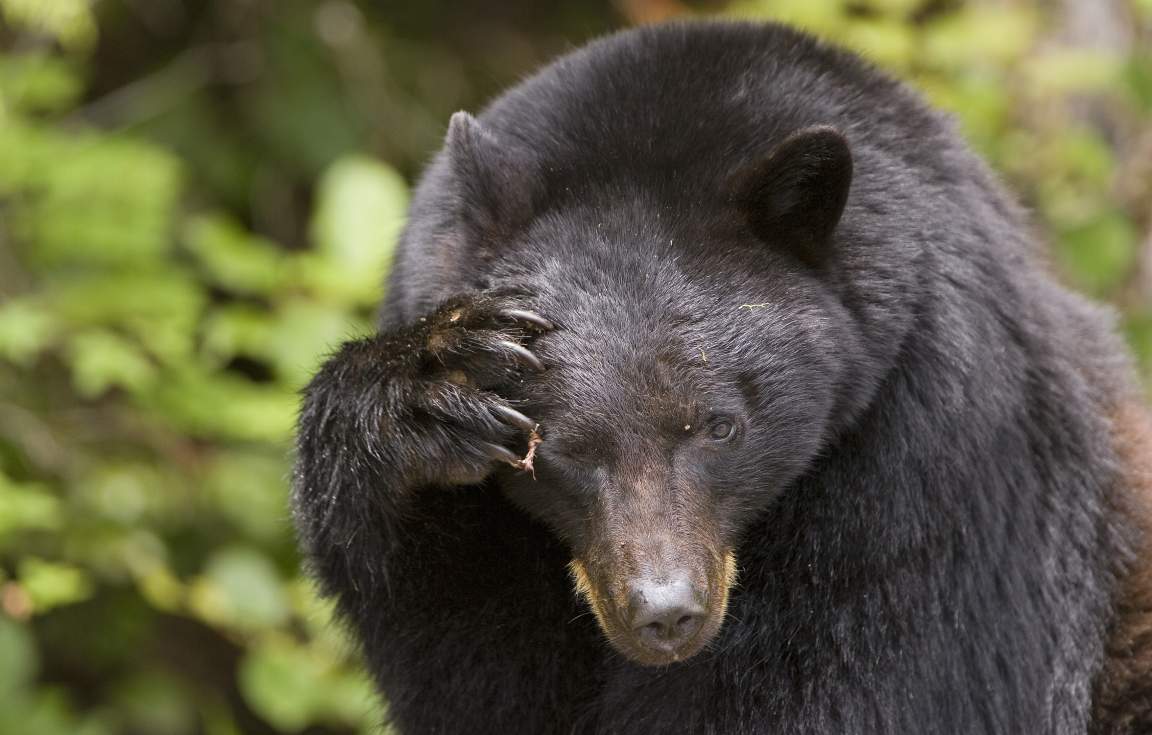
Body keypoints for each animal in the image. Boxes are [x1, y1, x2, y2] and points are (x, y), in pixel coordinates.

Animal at [292, 20, 1152, 732]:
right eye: (553, 449)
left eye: (720, 425)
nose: (665, 610)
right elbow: (480, 668)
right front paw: (427, 393)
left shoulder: (931, 458)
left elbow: (863, 681)